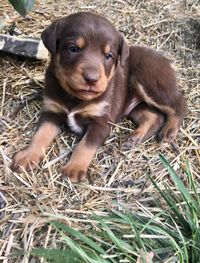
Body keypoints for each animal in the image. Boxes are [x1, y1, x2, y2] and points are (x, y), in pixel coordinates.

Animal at [11, 11, 188, 182]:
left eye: (108, 56)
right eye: (73, 48)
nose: (91, 78)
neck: (75, 97)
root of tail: (163, 58)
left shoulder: (101, 121)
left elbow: (85, 145)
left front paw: (74, 168)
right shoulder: (51, 111)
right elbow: (40, 134)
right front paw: (27, 156)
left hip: (149, 81)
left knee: (179, 103)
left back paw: (169, 131)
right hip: (134, 105)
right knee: (154, 116)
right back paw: (134, 138)